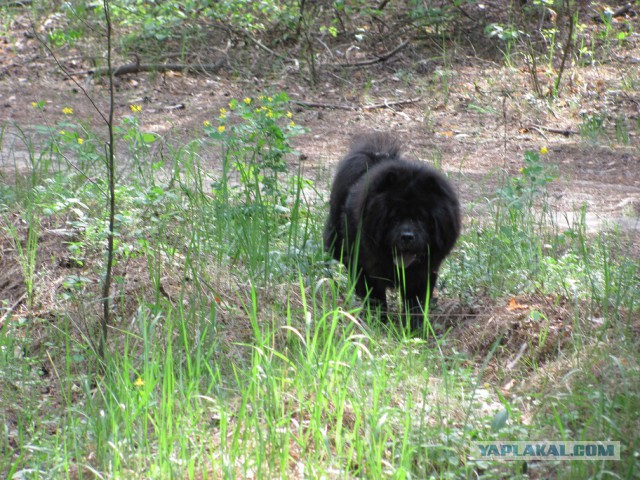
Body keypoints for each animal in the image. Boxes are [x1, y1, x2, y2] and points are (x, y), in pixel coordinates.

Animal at [324, 132, 460, 326]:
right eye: (394, 217)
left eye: (422, 218)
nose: (407, 236)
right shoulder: (366, 268)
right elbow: (375, 299)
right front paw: (378, 323)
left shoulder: (424, 274)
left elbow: (416, 304)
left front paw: (414, 327)